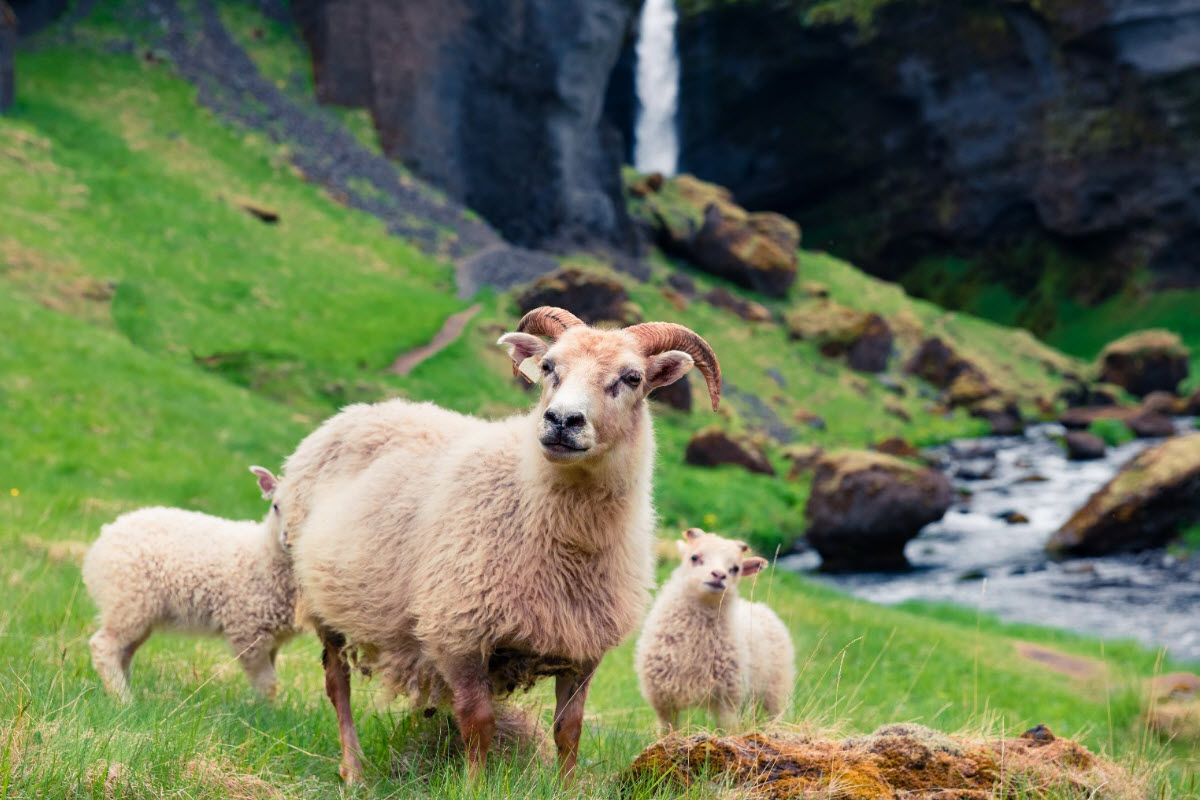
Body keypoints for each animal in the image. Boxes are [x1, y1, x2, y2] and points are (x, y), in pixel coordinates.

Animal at [82, 465, 297, 705]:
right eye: (275, 506)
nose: (288, 540)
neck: (262, 552)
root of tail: (105, 536)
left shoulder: (271, 636)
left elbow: (270, 680)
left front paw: (266, 710)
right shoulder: (247, 630)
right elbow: (266, 683)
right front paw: (262, 711)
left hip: (136, 610)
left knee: (123, 653)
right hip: (128, 601)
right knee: (104, 647)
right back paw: (125, 700)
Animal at [638, 527, 796, 734]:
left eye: (735, 568)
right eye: (694, 557)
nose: (719, 575)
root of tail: (759, 606)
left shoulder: (727, 700)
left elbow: (727, 732)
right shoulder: (663, 700)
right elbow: (667, 732)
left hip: (775, 689)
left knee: (774, 716)